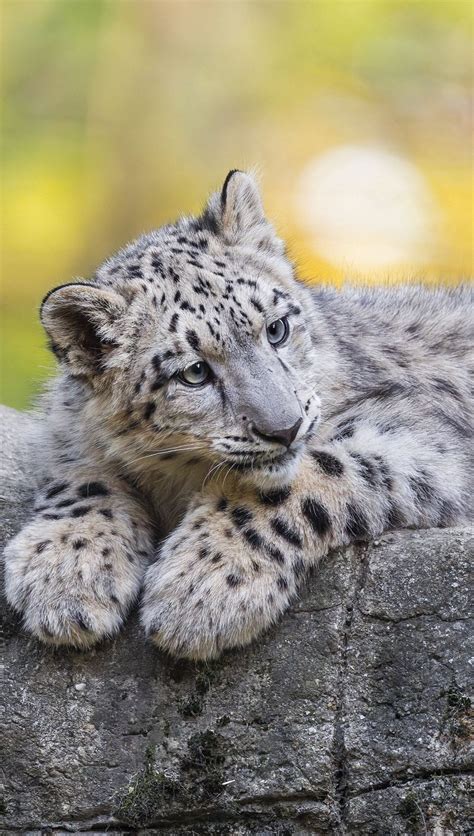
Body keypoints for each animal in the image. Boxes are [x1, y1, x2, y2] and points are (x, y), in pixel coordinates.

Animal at [3, 169, 472, 660]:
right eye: (194, 373)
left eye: (277, 328)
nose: (285, 428)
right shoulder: (65, 433)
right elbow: (83, 473)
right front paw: (64, 571)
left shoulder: (418, 431)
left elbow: (308, 476)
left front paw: (200, 589)